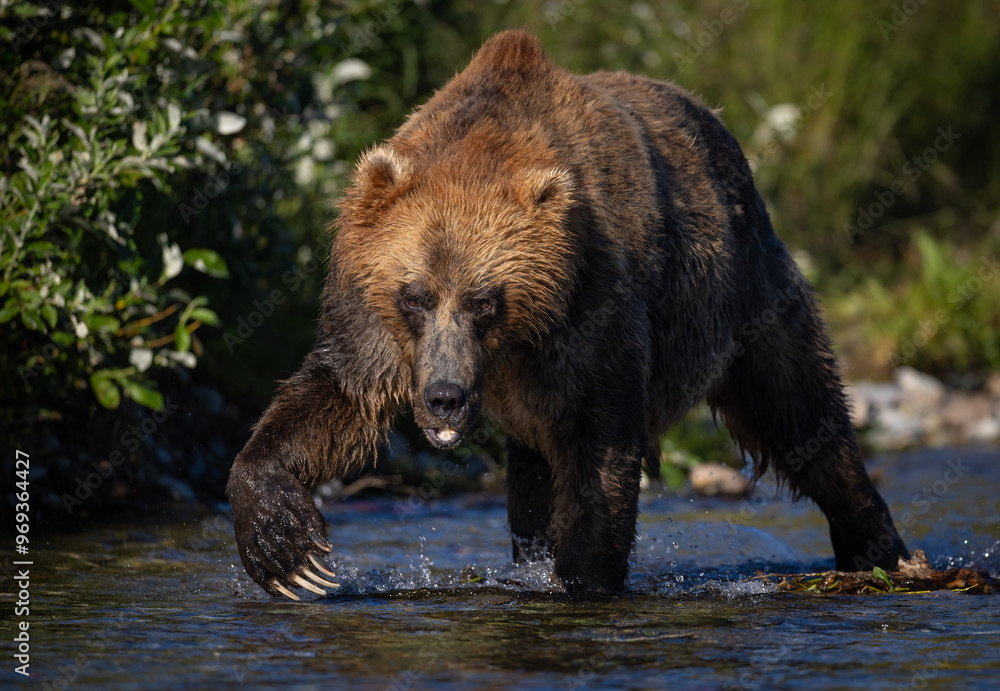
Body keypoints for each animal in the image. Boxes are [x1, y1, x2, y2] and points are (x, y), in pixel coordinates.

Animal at [226, 30, 908, 599]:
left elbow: (597, 449)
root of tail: (720, 128)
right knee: (531, 476)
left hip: (746, 296)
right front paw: (289, 555)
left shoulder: (590, 308)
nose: (444, 397)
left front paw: (584, 578)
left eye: (484, 299)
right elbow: (337, 395)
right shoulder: (372, 317)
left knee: (801, 412)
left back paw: (883, 552)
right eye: (414, 296)